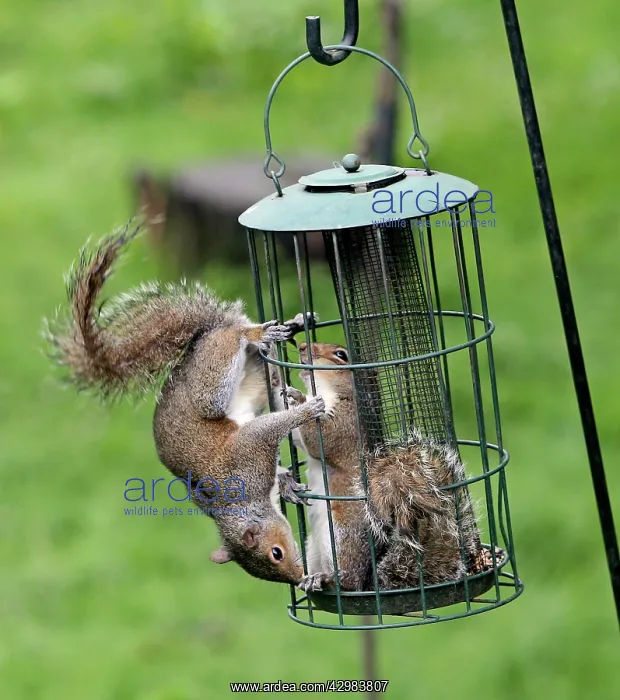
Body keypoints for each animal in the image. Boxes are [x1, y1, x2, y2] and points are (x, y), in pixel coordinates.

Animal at [43, 222, 326, 586]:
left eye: (276, 553)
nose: (298, 577)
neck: (247, 503)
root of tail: (197, 345)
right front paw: (288, 483)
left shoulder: (247, 453)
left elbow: (267, 430)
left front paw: (307, 413)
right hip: (253, 376)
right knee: (267, 368)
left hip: (209, 384)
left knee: (235, 336)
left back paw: (273, 330)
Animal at [286, 342, 488, 593]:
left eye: (341, 355)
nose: (302, 346)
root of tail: (367, 584)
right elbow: (297, 438)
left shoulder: (346, 426)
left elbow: (318, 438)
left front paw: (298, 399)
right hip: (312, 547)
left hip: (342, 536)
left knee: (347, 579)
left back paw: (327, 578)